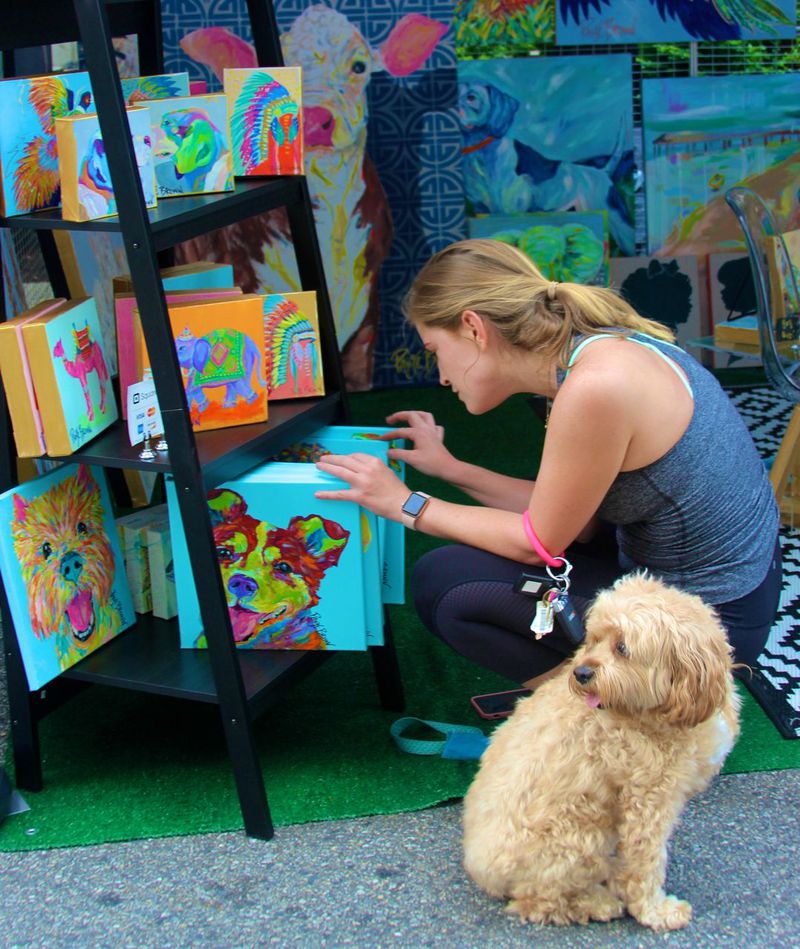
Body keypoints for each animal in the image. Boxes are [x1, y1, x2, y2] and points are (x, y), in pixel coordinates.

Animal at [466, 572, 740, 928]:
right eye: (594, 639)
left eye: (622, 647)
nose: (580, 672)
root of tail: (480, 868)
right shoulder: (648, 800)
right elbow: (645, 862)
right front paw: (655, 911)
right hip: (580, 833)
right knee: (538, 900)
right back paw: (595, 902)